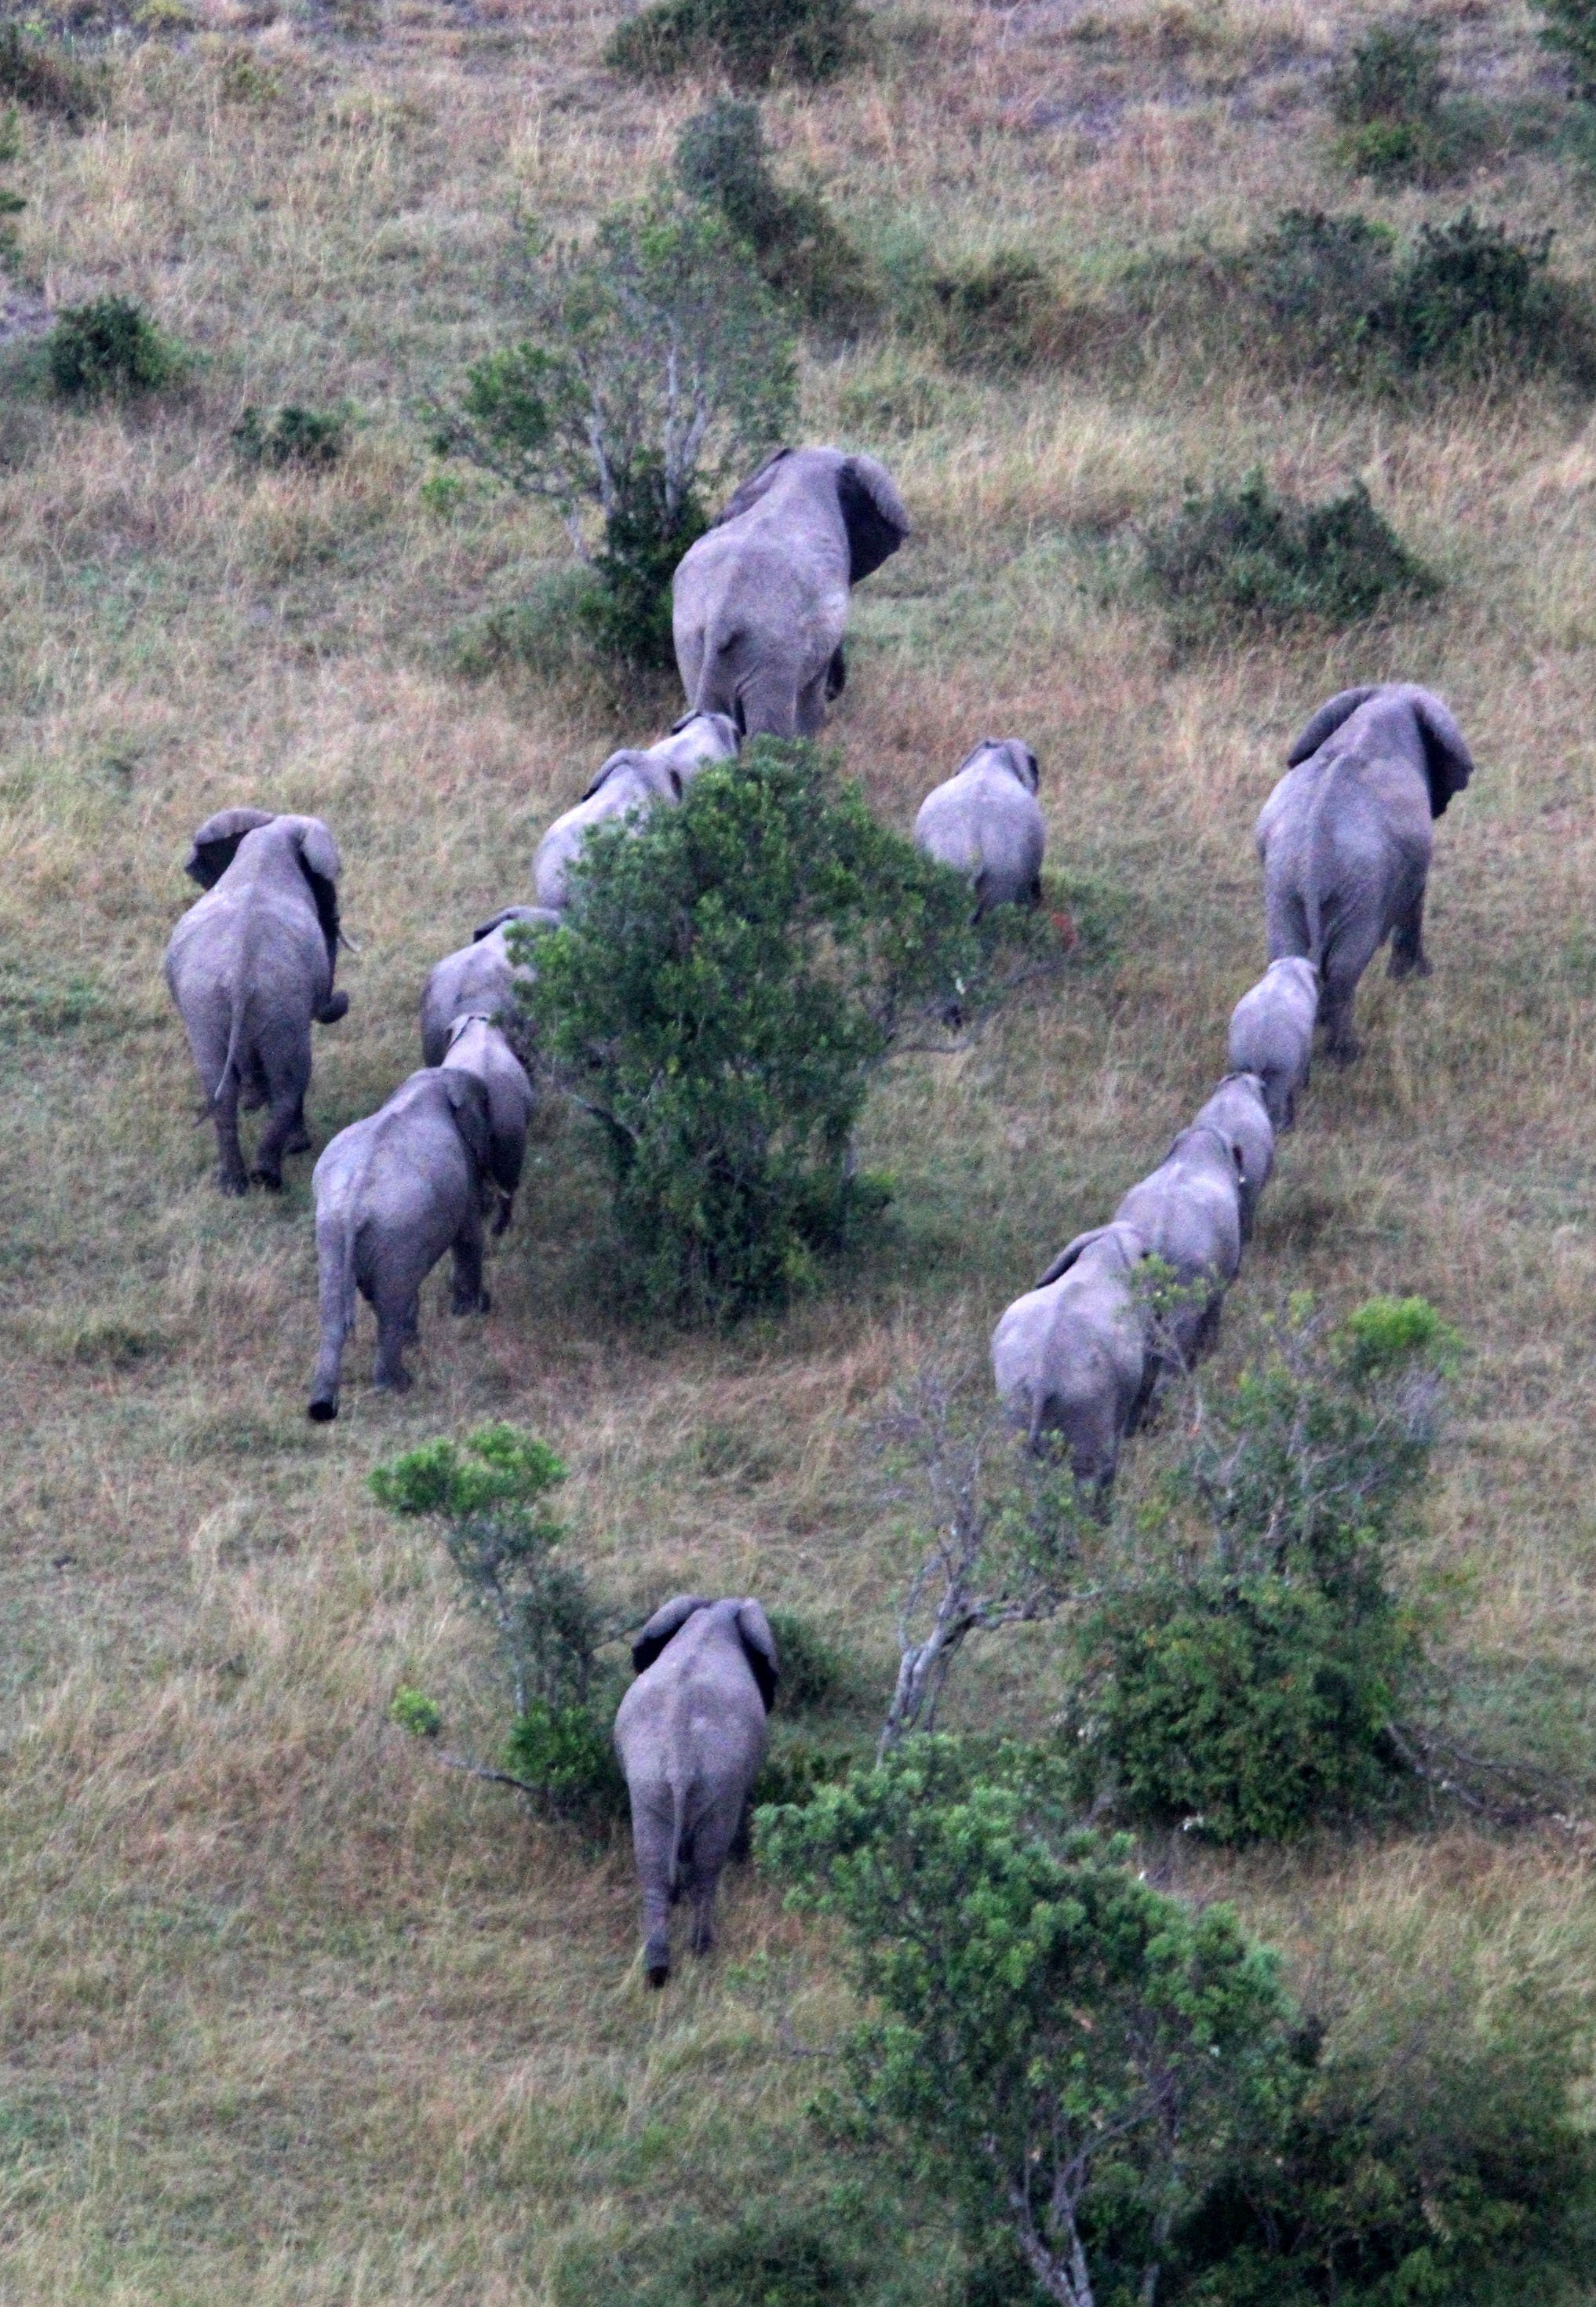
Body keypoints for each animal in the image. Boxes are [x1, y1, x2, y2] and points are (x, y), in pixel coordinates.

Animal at [164, 807, 348, 1194]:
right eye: (325, 884)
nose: (339, 996)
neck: (270, 836)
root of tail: (239, 979)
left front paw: (253, 1101)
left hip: (206, 1009)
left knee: (219, 1089)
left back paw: (234, 1185)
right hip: (280, 1008)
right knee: (291, 1081)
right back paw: (272, 1172)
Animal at [306, 1066, 493, 1420]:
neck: (431, 1083)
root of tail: (354, 1207)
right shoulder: (465, 1165)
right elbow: (469, 1237)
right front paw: (473, 1312)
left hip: (331, 1230)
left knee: (334, 1311)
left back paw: (323, 1405)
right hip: (395, 1228)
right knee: (389, 1306)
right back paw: (397, 1385)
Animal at [613, 1595, 778, 1987]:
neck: (715, 1614)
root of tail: (680, 1754)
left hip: (649, 1782)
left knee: (654, 1868)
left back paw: (657, 1972)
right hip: (719, 1783)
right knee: (707, 1869)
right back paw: (702, 1948)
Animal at [672, 446, 910, 738]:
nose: (837, 688)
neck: (801, 472)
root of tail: (720, 618)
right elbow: (811, 699)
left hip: (690, 642)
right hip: (773, 651)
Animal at [1256, 683, 1474, 1064]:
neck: (1387, 699)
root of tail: (1313, 858)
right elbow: (1416, 899)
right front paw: (1415, 977)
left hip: (1284, 882)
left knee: (1286, 951)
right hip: (1358, 890)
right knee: (1346, 968)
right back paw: (1347, 1055)